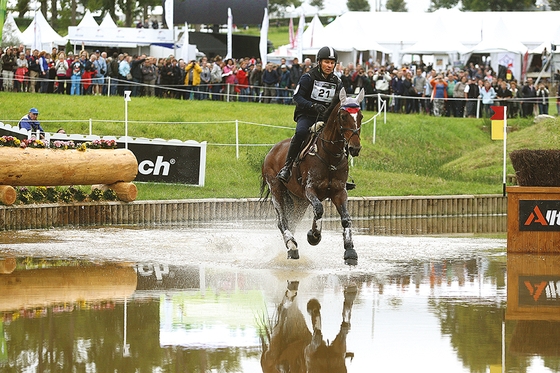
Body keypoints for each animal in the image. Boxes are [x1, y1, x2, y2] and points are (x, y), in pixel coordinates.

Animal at [262, 88, 366, 266]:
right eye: (343, 116)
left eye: (361, 116)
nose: (355, 148)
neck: (329, 156)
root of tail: (272, 150)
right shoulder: (310, 190)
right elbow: (319, 209)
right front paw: (314, 236)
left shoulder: (339, 192)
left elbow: (346, 218)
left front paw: (350, 251)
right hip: (277, 190)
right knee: (282, 221)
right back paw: (292, 246)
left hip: (299, 201)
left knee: (293, 221)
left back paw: (291, 247)